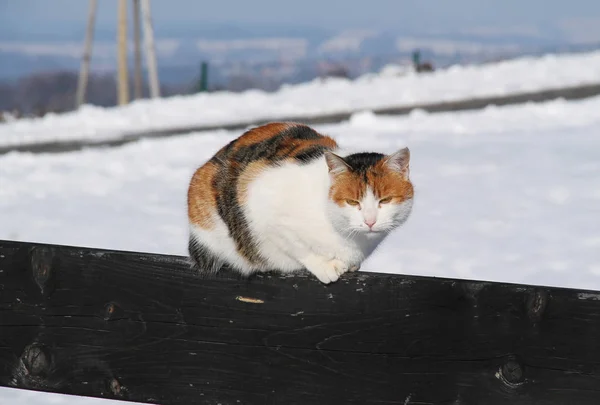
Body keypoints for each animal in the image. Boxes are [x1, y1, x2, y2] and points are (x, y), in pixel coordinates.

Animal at [188, 121, 412, 282]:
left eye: (385, 200)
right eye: (352, 202)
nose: (370, 221)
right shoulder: (261, 205)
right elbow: (296, 245)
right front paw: (325, 266)